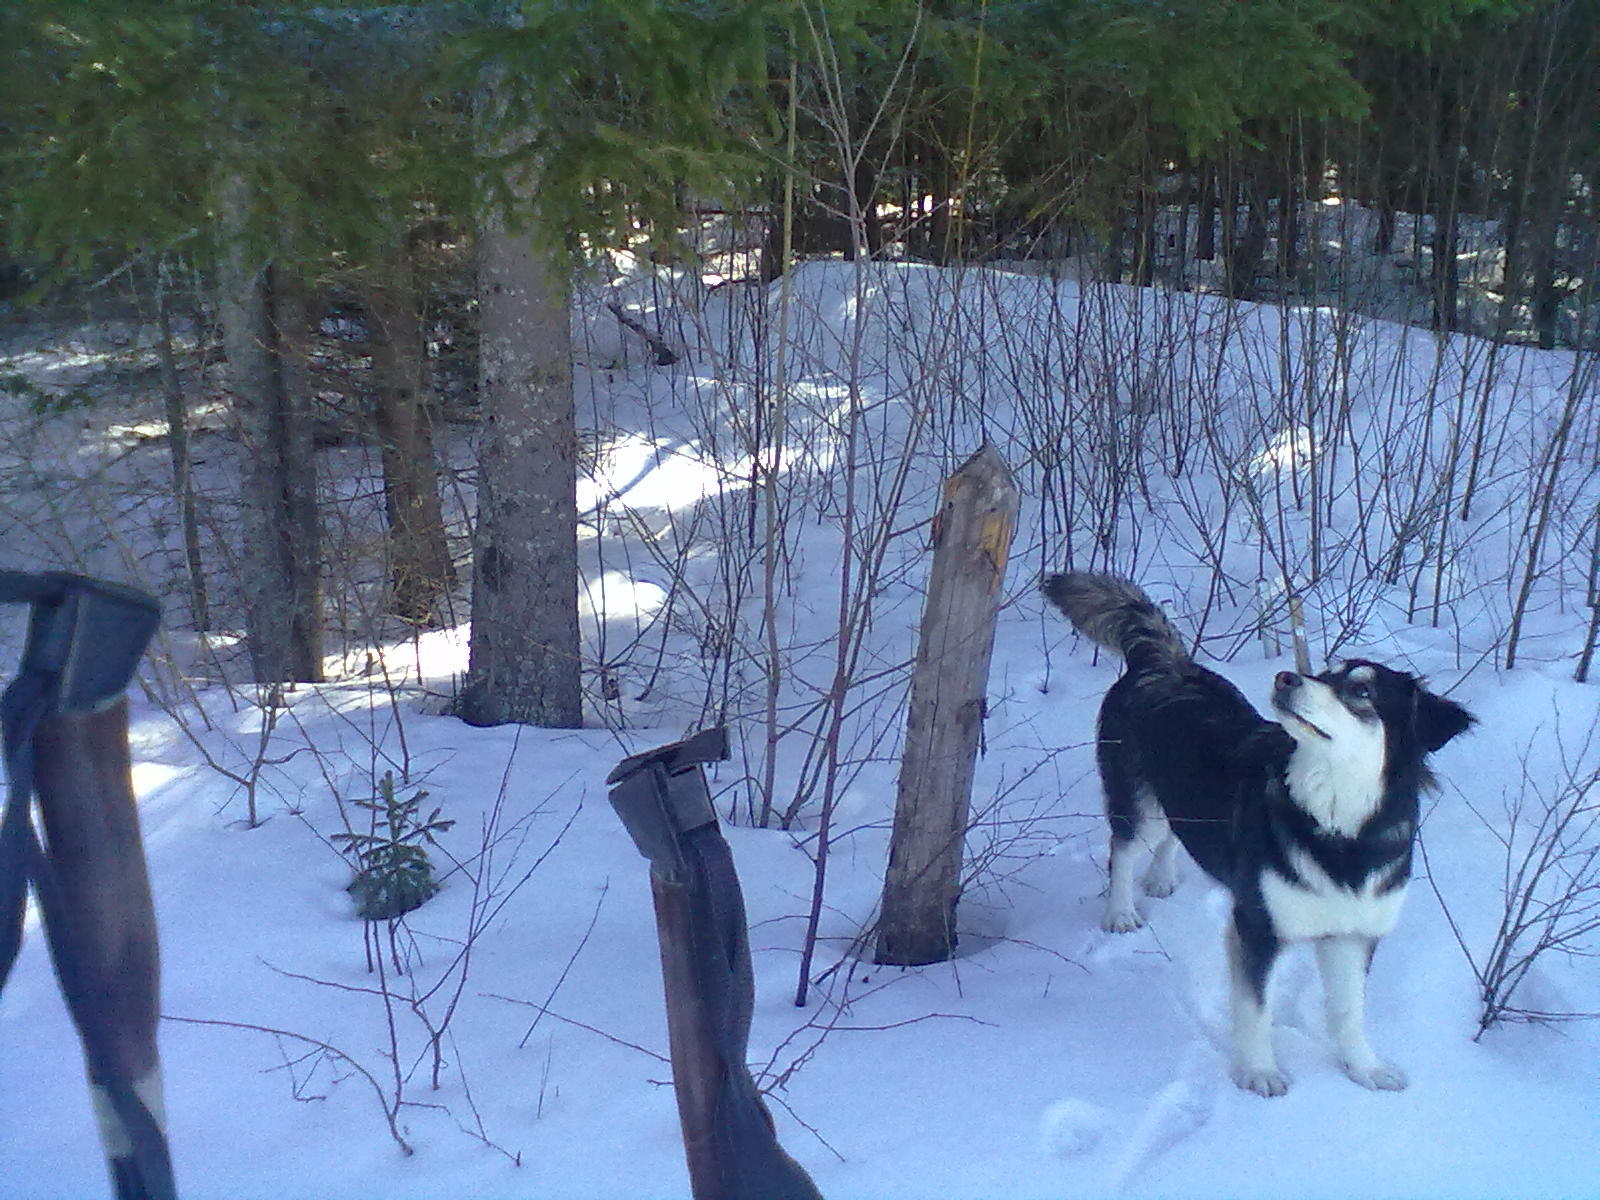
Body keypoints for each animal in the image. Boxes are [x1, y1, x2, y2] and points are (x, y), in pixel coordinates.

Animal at [1036, 572, 1472, 1100]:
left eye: (1361, 693)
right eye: (1324, 672)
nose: (1287, 677)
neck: (1339, 825)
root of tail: (1164, 660)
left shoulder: (1354, 933)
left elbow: (1349, 1012)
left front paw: (1363, 1068)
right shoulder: (1258, 926)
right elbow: (1255, 1010)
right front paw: (1259, 1072)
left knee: (1171, 836)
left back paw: (1161, 878)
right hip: (1140, 805)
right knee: (1123, 851)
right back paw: (1120, 912)